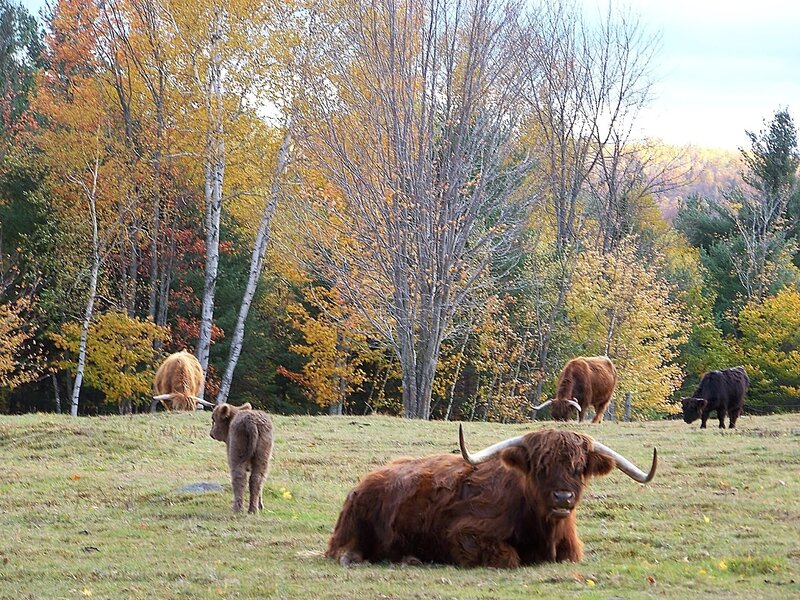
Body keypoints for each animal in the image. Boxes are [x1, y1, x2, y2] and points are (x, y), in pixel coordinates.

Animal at [325, 425, 656, 568]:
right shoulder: (465, 534)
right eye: (541, 466)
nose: (563, 497)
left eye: (579, 468)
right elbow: (509, 558)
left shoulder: (571, 551)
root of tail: (365, 480)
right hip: (354, 529)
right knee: (344, 550)